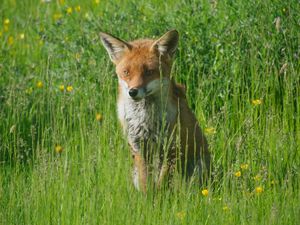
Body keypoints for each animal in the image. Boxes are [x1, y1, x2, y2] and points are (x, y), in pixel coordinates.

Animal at [99, 29, 210, 192]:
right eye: (126, 72)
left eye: (149, 72)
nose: (133, 92)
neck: (144, 120)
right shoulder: (139, 148)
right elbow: (146, 183)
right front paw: (148, 198)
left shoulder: (172, 148)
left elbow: (162, 184)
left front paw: (159, 197)